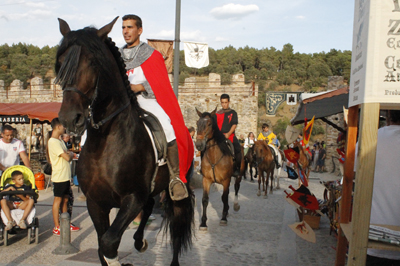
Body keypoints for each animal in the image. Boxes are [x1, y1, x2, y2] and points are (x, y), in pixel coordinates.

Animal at [55, 17, 193, 266]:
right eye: (61, 63)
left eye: (92, 63)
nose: (70, 118)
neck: (105, 142)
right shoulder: (96, 203)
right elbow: (102, 246)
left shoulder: (132, 199)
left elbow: (109, 242)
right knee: (150, 205)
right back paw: (139, 241)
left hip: (178, 190)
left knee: (177, 227)